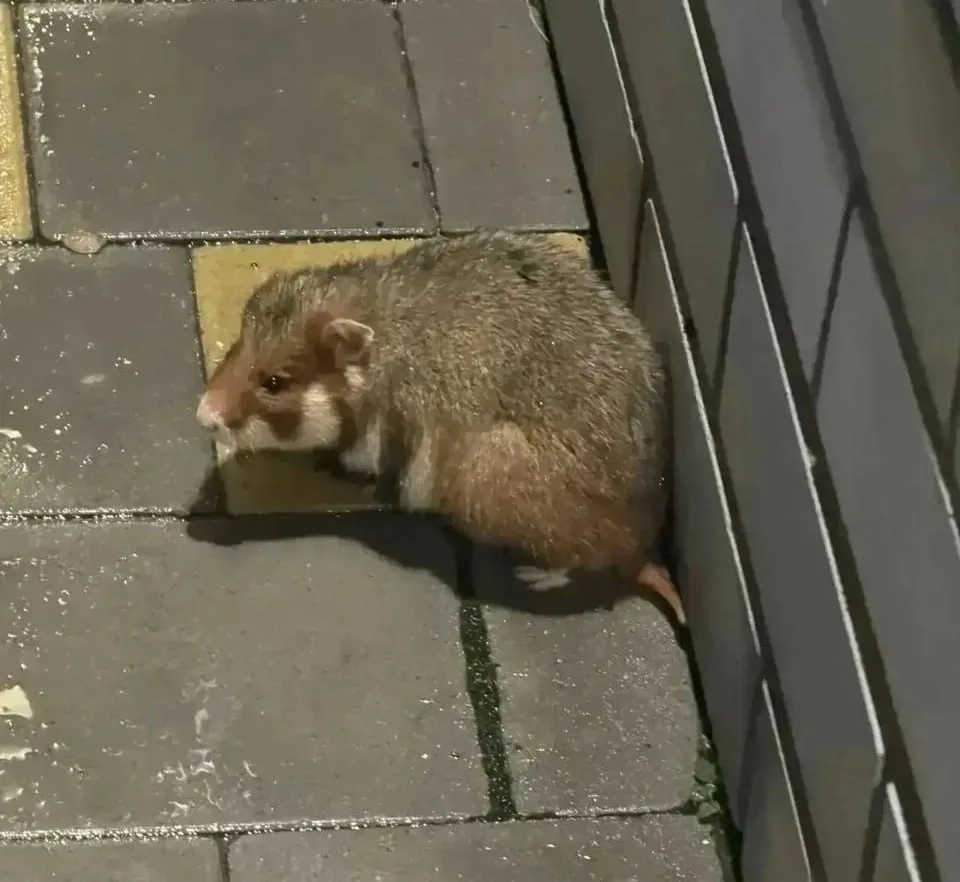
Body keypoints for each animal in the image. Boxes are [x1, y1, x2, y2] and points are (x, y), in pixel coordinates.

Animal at [196, 231, 684, 625]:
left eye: (275, 382)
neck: (380, 341)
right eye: (236, 345)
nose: (202, 416)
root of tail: (640, 552)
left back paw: (535, 574)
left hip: (484, 472)